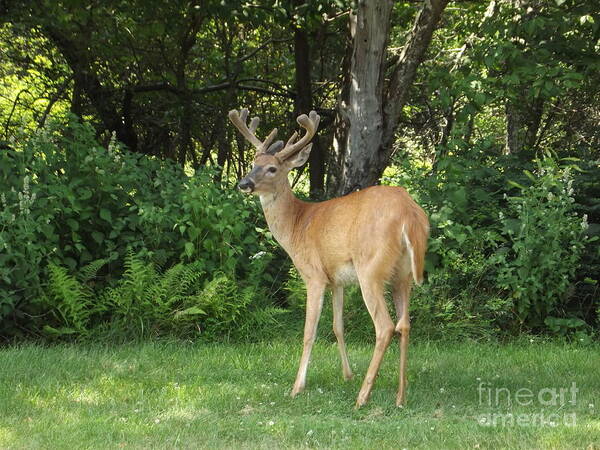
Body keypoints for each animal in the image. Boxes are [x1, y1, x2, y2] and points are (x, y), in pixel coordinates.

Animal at [227, 108, 428, 408]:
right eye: (253, 163)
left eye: (272, 168)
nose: (244, 183)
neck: (296, 226)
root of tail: (410, 215)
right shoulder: (337, 280)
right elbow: (337, 326)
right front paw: (347, 374)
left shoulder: (314, 275)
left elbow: (309, 332)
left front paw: (297, 387)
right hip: (402, 274)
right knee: (405, 324)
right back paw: (400, 396)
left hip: (371, 268)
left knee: (385, 326)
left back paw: (363, 397)